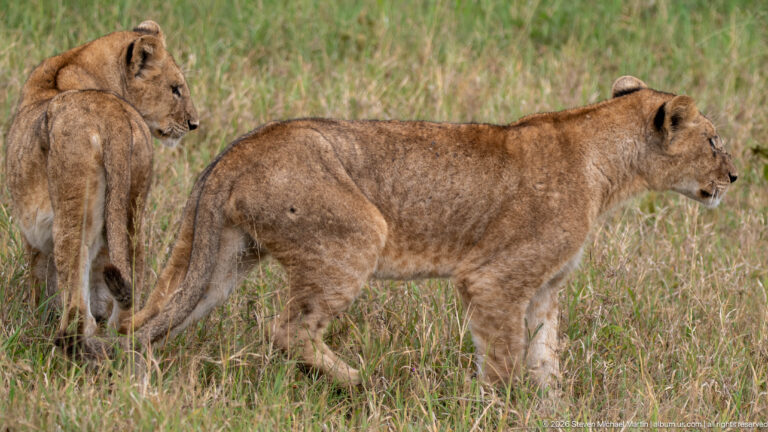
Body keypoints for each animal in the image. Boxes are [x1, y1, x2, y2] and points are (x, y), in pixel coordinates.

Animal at [5, 20, 199, 354]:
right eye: (175, 89)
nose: (194, 123)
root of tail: (113, 117)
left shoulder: (33, 234)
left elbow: (38, 278)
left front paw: (32, 319)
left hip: (72, 212)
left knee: (76, 293)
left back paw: (68, 342)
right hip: (133, 209)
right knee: (127, 279)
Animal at [112, 76, 736, 389]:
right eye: (712, 140)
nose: (734, 175)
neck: (606, 165)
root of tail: (236, 152)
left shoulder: (544, 287)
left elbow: (544, 356)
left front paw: (553, 409)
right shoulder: (494, 279)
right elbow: (505, 360)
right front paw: (502, 412)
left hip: (217, 260)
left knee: (149, 321)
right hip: (357, 235)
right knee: (287, 330)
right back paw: (358, 380)